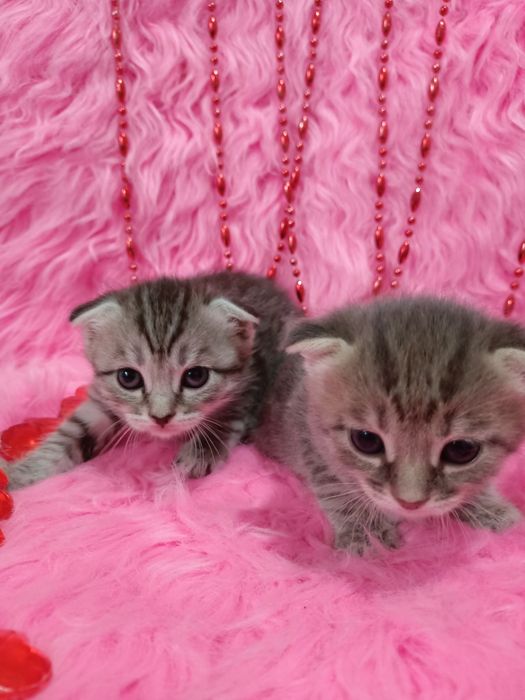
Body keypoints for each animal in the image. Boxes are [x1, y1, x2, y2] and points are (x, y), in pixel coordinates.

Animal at [4, 272, 298, 489]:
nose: (161, 418)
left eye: (196, 376)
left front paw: (201, 450)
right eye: (129, 377)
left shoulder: (251, 378)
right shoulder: (102, 399)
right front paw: (25, 473)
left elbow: (225, 416)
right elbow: (72, 431)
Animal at [254, 296, 525, 554]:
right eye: (366, 440)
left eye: (461, 450)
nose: (410, 503)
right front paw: (366, 533)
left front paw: (488, 507)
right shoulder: (309, 437)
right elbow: (335, 486)